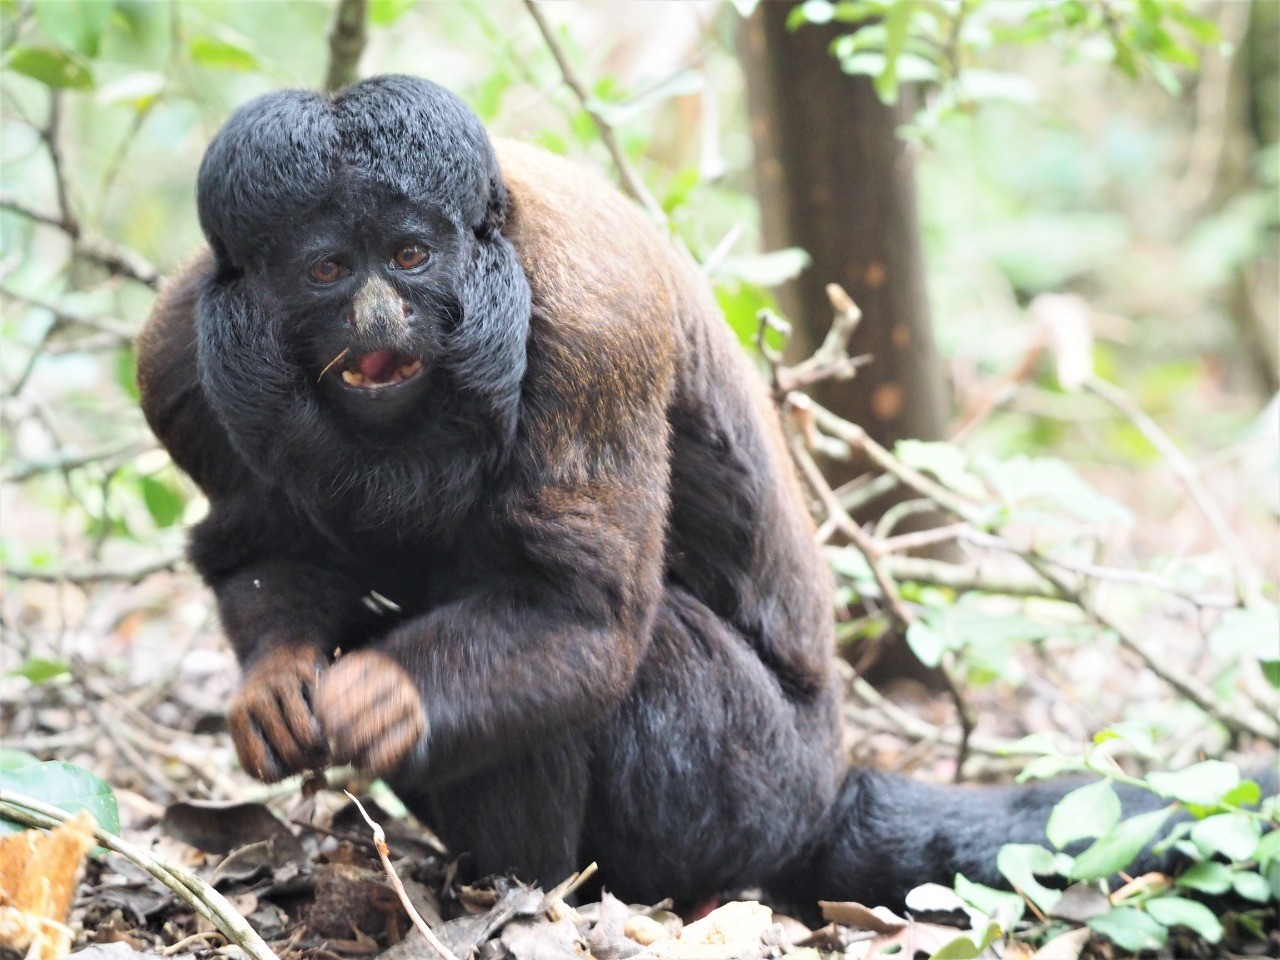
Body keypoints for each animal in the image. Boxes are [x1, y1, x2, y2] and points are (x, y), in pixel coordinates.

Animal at [135, 75, 1261, 915]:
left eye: (410, 255)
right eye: (329, 269)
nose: (379, 317)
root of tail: (825, 792)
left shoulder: (600, 329)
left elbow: (578, 614)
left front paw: (384, 696)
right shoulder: (176, 357)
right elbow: (254, 547)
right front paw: (276, 685)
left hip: (751, 789)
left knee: (637, 659)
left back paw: (523, 888)